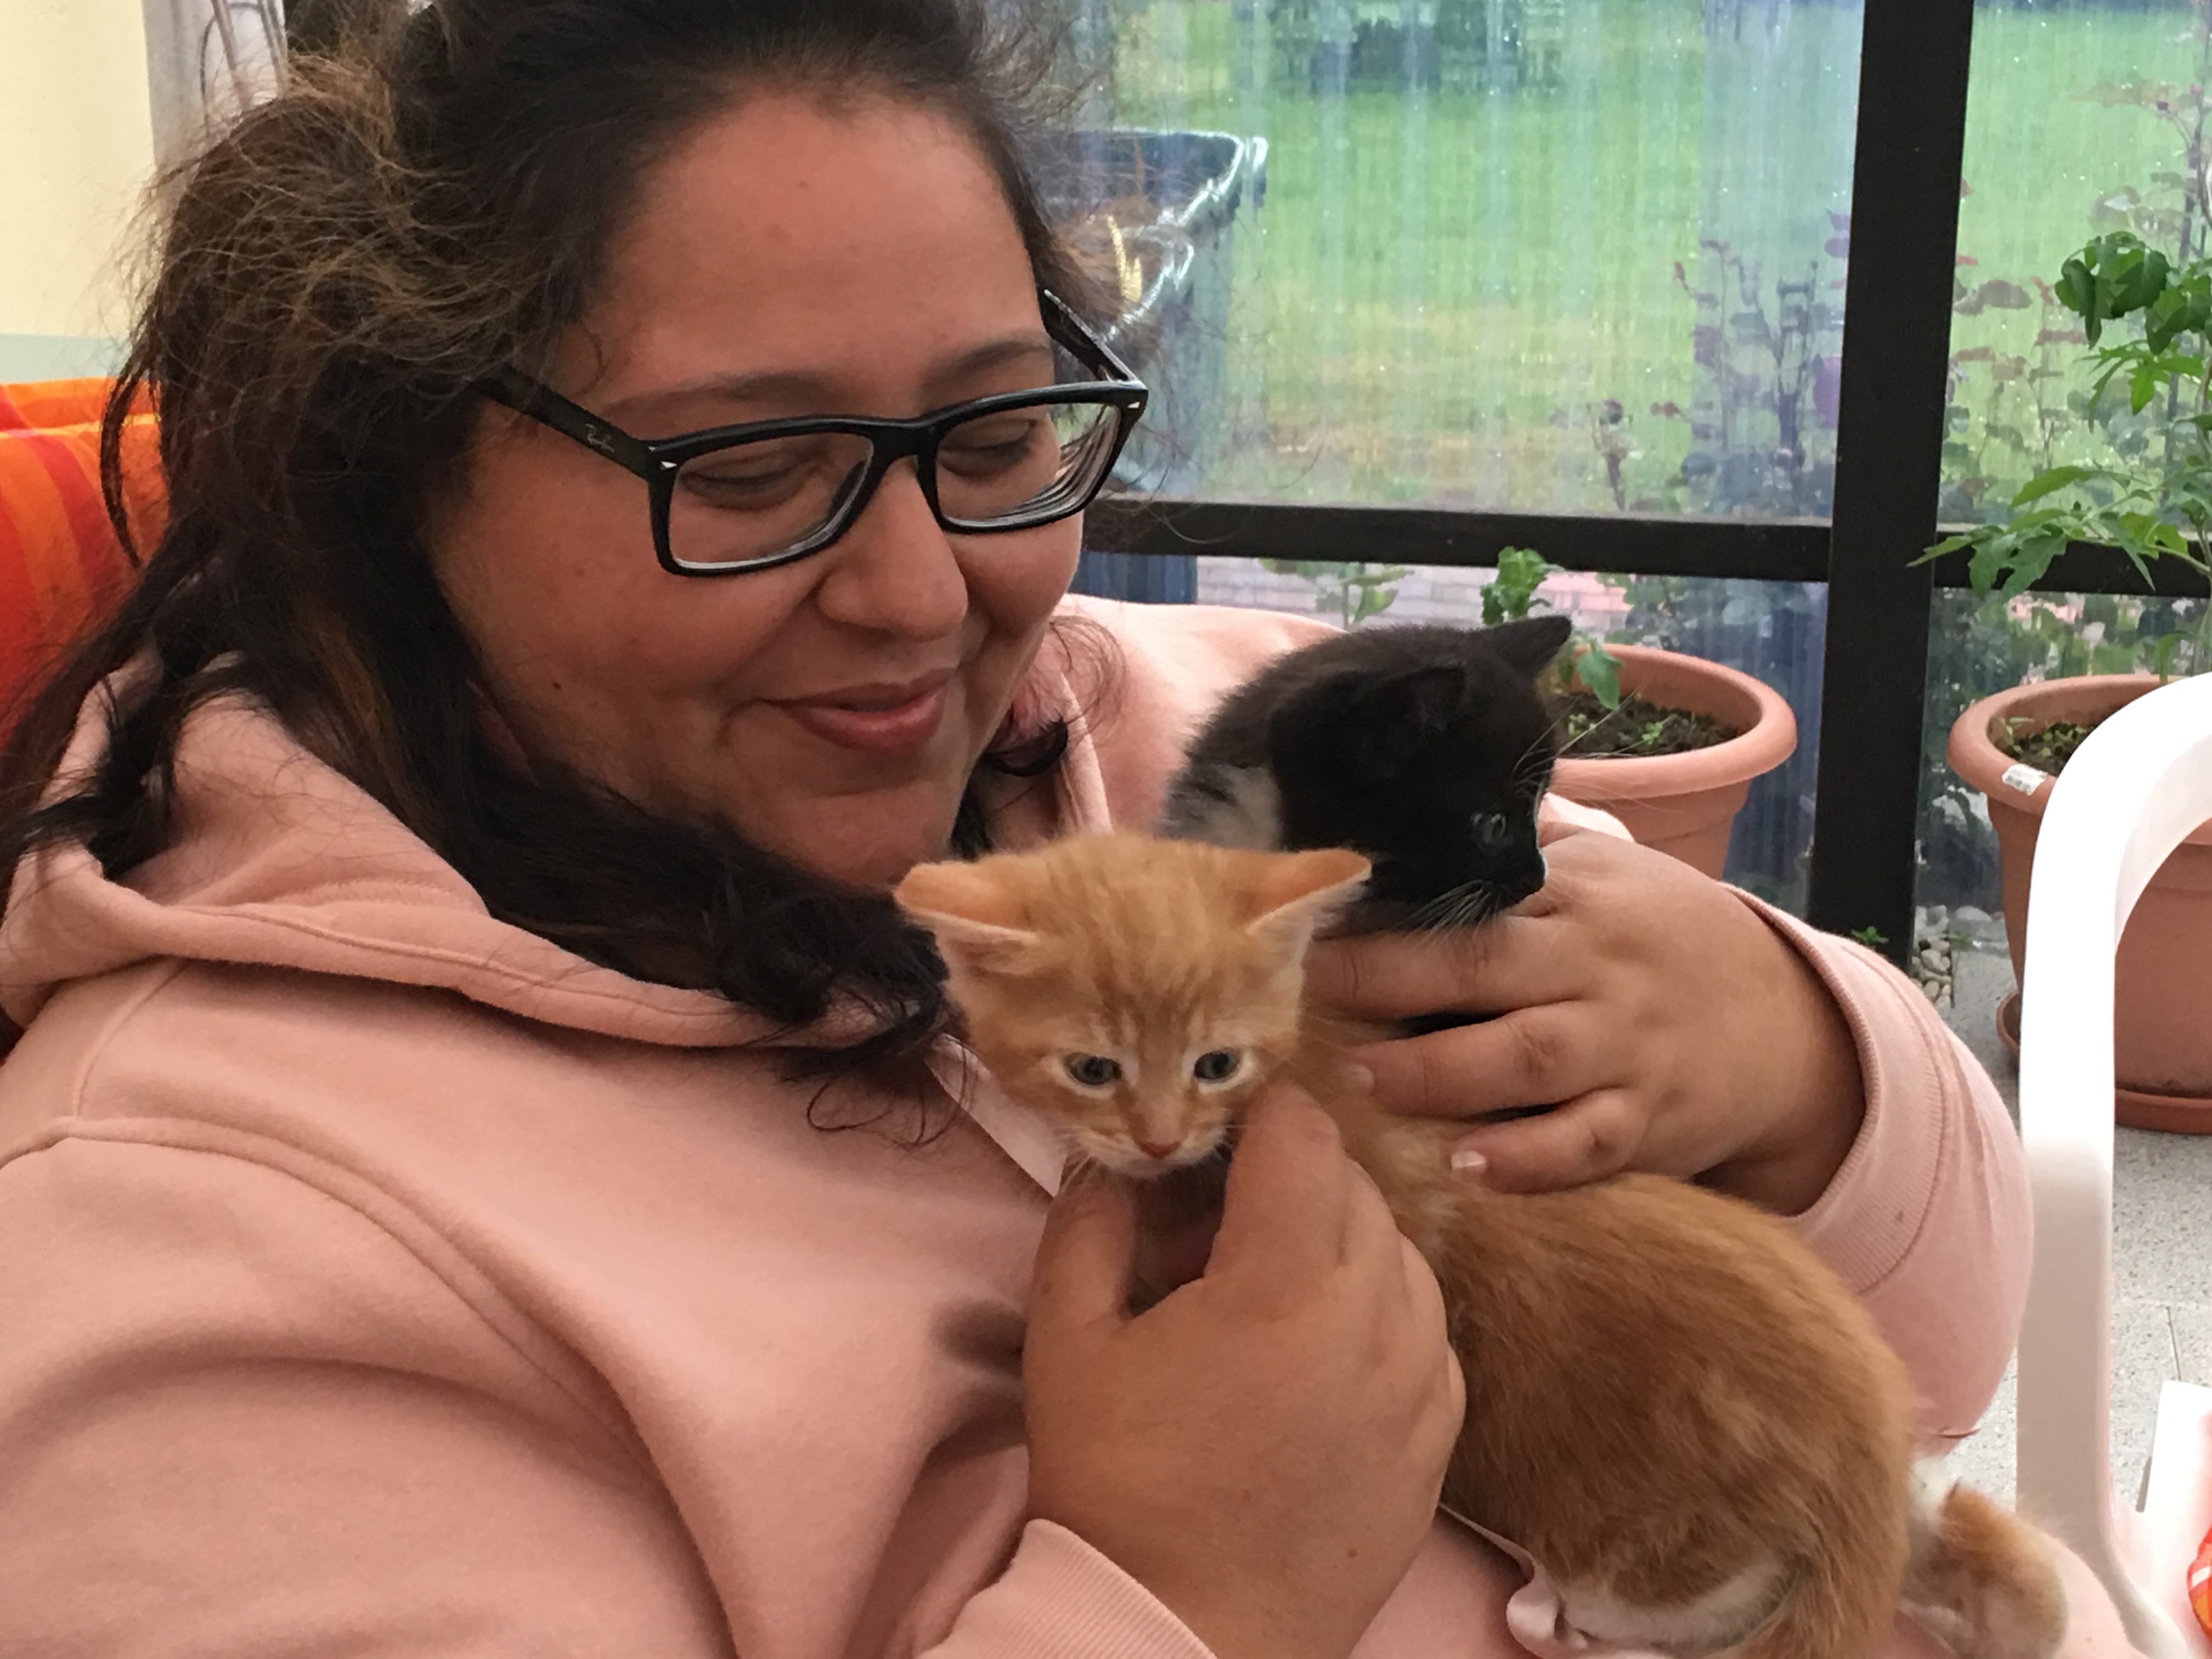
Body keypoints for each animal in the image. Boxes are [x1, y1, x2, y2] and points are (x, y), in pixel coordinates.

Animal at [894, 831, 2068, 1659]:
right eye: (1093, 1068)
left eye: (1213, 1062)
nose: (1155, 1137)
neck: (1302, 1051)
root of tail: (1858, 1454)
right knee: (1991, 1557)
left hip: (1652, 1555)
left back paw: (1559, 1614)